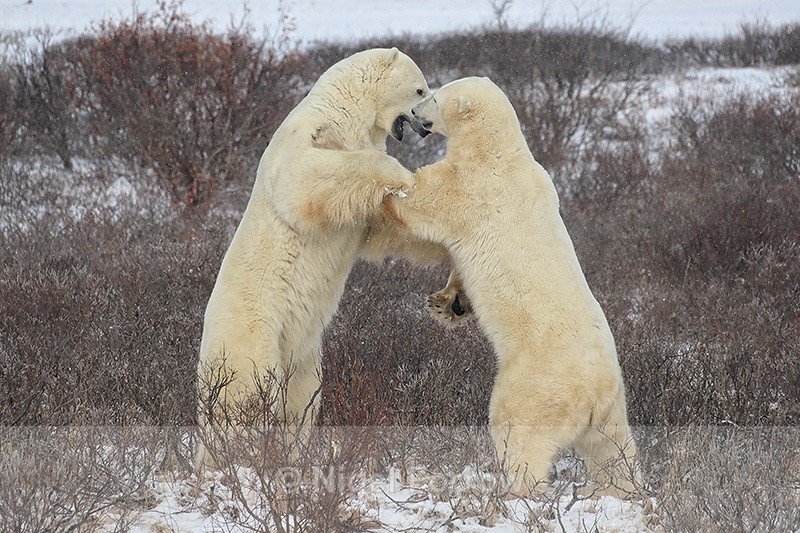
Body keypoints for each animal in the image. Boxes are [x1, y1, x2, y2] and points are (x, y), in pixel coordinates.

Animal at [196, 48, 448, 458]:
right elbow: (307, 177)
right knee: (244, 398)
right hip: (252, 337)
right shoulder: (302, 138)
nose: (426, 127)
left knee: (302, 401)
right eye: (420, 88)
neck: (345, 109)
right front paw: (404, 174)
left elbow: (381, 227)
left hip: (304, 355)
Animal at [388, 76, 640, 497]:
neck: (499, 150)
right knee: (613, 452)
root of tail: (595, 392)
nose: (414, 113)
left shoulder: (474, 187)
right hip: (614, 406)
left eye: (435, 97)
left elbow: (422, 199)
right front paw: (447, 303)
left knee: (517, 429)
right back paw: (625, 491)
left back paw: (515, 490)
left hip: (538, 383)